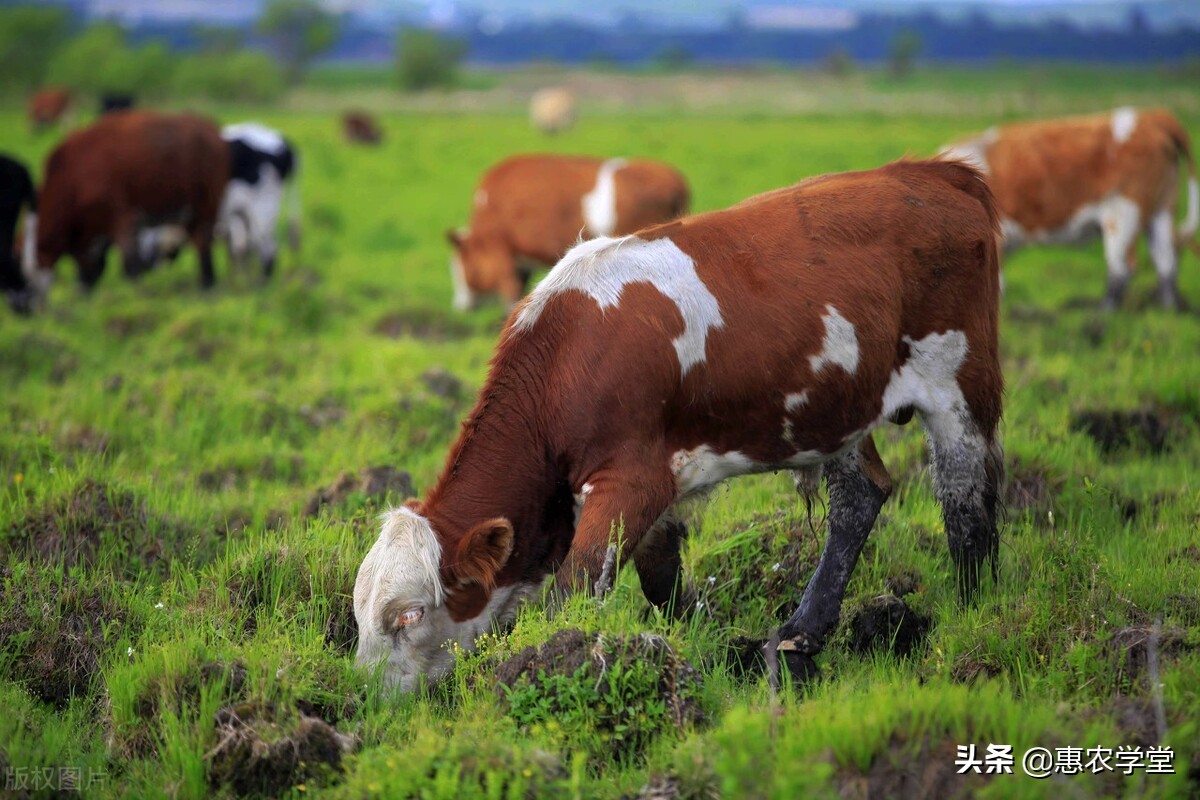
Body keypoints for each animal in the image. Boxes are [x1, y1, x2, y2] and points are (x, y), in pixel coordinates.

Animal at [32, 106, 231, 293]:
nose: (80, 289)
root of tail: (211, 128)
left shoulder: (121, 215)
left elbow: (129, 263)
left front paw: (136, 292)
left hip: (205, 205)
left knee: (202, 243)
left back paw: (207, 285)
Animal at [940, 106, 1195, 307]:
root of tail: (1149, 116)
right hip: (1160, 211)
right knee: (1165, 261)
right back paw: (1167, 312)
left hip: (1123, 213)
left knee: (1123, 267)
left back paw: (1102, 314)